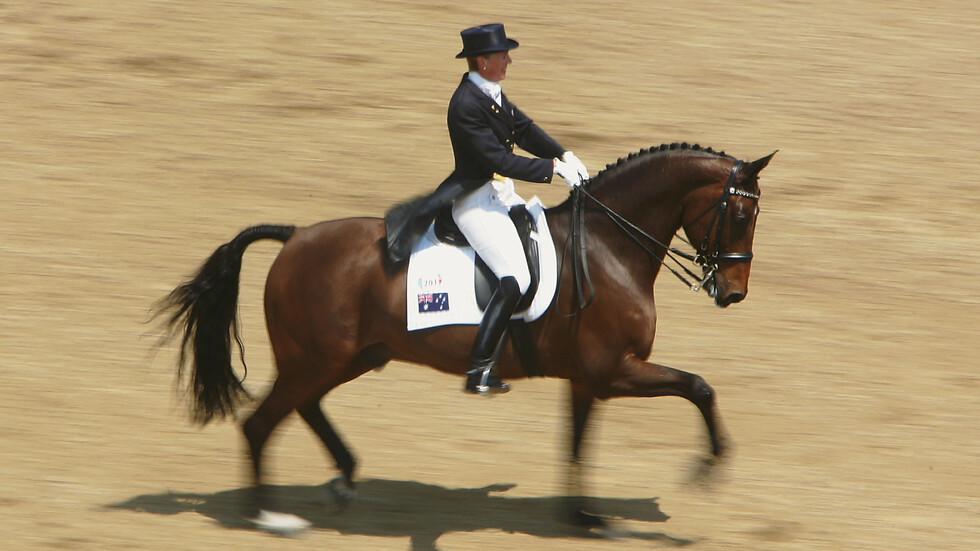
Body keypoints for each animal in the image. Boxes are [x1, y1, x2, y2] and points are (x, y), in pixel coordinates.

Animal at [157, 142, 772, 536]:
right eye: (741, 214)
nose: (735, 293)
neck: (607, 245)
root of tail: (295, 236)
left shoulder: (588, 378)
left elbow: (576, 441)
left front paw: (583, 517)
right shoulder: (614, 370)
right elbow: (699, 386)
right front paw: (709, 465)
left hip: (349, 357)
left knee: (302, 407)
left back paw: (344, 480)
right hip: (317, 359)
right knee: (261, 424)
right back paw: (272, 518)